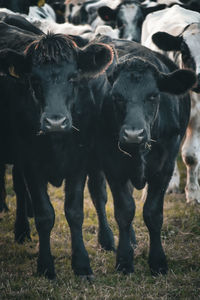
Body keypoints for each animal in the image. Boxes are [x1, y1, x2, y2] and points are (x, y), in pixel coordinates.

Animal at [0, 22, 114, 278]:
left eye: (72, 78)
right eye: (33, 80)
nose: (55, 121)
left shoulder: (80, 161)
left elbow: (74, 211)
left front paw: (81, 264)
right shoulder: (30, 162)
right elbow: (44, 214)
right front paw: (45, 266)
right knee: (20, 190)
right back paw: (21, 230)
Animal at [93, 36, 196, 276]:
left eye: (153, 96)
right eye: (116, 96)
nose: (133, 135)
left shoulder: (165, 167)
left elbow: (153, 214)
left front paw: (158, 262)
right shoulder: (112, 166)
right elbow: (124, 211)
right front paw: (124, 261)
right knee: (98, 196)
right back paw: (107, 240)